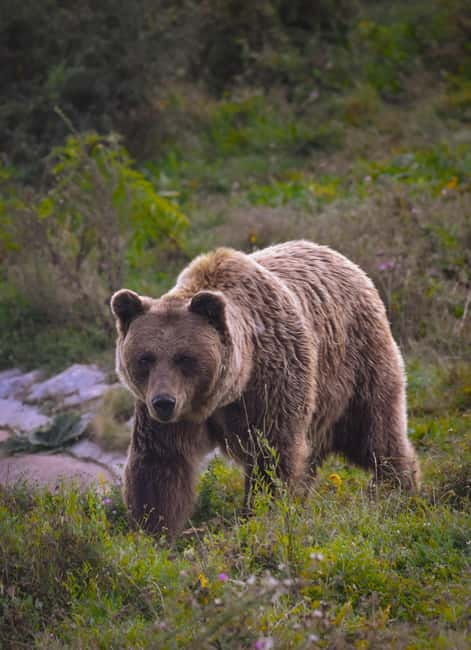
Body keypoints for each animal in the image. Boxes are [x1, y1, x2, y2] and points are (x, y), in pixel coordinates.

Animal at [110, 240, 420, 539]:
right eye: (145, 358)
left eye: (185, 358)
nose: (164, 402)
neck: (225, 393)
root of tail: (346, 262)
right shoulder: (168, 415)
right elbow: (160, 464)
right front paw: (154, 531)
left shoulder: (271, 384)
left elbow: (272, 456)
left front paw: (259, 516)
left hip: (355, 367)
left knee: (376, 432)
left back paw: (397, 489)